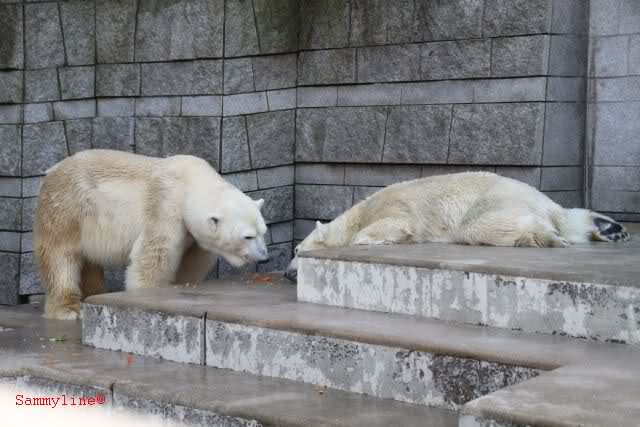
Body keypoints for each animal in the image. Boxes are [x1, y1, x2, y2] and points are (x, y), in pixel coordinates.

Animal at [34, 149, 269, 320]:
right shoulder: (165, 206)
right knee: (60, 256)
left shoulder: (193, 235)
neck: (190, 183)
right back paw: (68, 308)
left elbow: (192, 261)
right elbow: (154, 257)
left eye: (263, 232)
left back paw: (97, 293)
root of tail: (51, 171)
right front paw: (148, 295)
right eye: (248, 236)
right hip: (68, 208)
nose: (265, 257)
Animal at [284, 171, 630, 281]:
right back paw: (610, 228)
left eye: (298, 250)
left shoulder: (397, 207)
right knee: (572, 219)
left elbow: (394, 225)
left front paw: (367, 239)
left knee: (480, 226)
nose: (287, 274)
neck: (361, 211)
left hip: (496, 200)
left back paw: (546, 238)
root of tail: (543, 202)